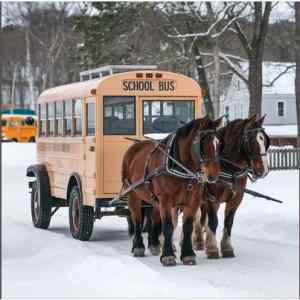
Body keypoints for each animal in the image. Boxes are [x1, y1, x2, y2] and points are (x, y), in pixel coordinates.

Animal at [121, 116, 223, 266]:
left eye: (218, 143)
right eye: (203, 142)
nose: (214, 175)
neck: (180, 167)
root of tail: (135, 146)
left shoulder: (193, 200)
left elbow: (187, 226)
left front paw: (188, 254)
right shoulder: (165, 199)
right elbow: (168, 226)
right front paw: (168, 256)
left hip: (154, 200)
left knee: (153, 219)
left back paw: (154, 244)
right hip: (133, 194)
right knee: (137, 220)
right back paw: (138, 246)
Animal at [193, 115, 270, 258]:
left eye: (265, 140)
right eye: (252, 141)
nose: (264, 170)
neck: (229, 168)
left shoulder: (236, 199)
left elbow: (228, 222)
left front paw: (226, 247)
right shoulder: (211, 198)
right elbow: (213, 222)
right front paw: (212, 249)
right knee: (197, 217)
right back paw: (197, 240)